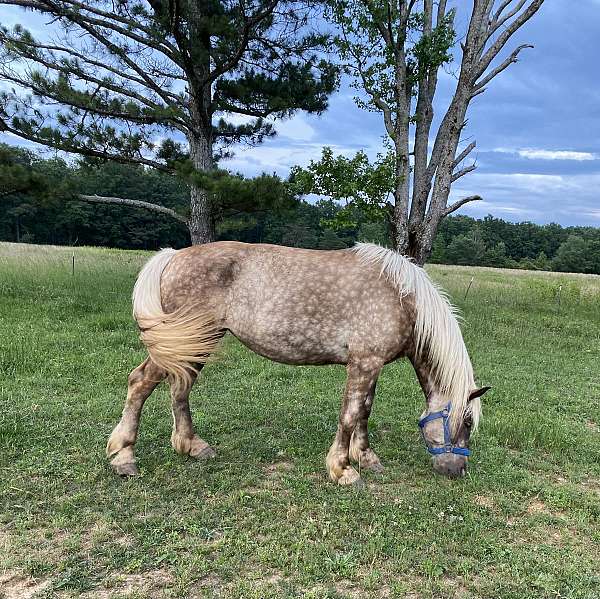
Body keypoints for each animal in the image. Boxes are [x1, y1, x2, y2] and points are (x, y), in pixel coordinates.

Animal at [108, 241, 490, 486]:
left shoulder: (371, 364)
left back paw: (192, 445)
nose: (458, 470)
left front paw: (366, 458)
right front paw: (343, 470)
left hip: (195, 344)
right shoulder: (364, 363)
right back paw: (124, 457)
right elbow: (351, 414)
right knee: (140, 382)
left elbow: (365, 411)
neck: (403, 298)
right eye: (467, 422)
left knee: (179, 387)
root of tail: (172, 257)